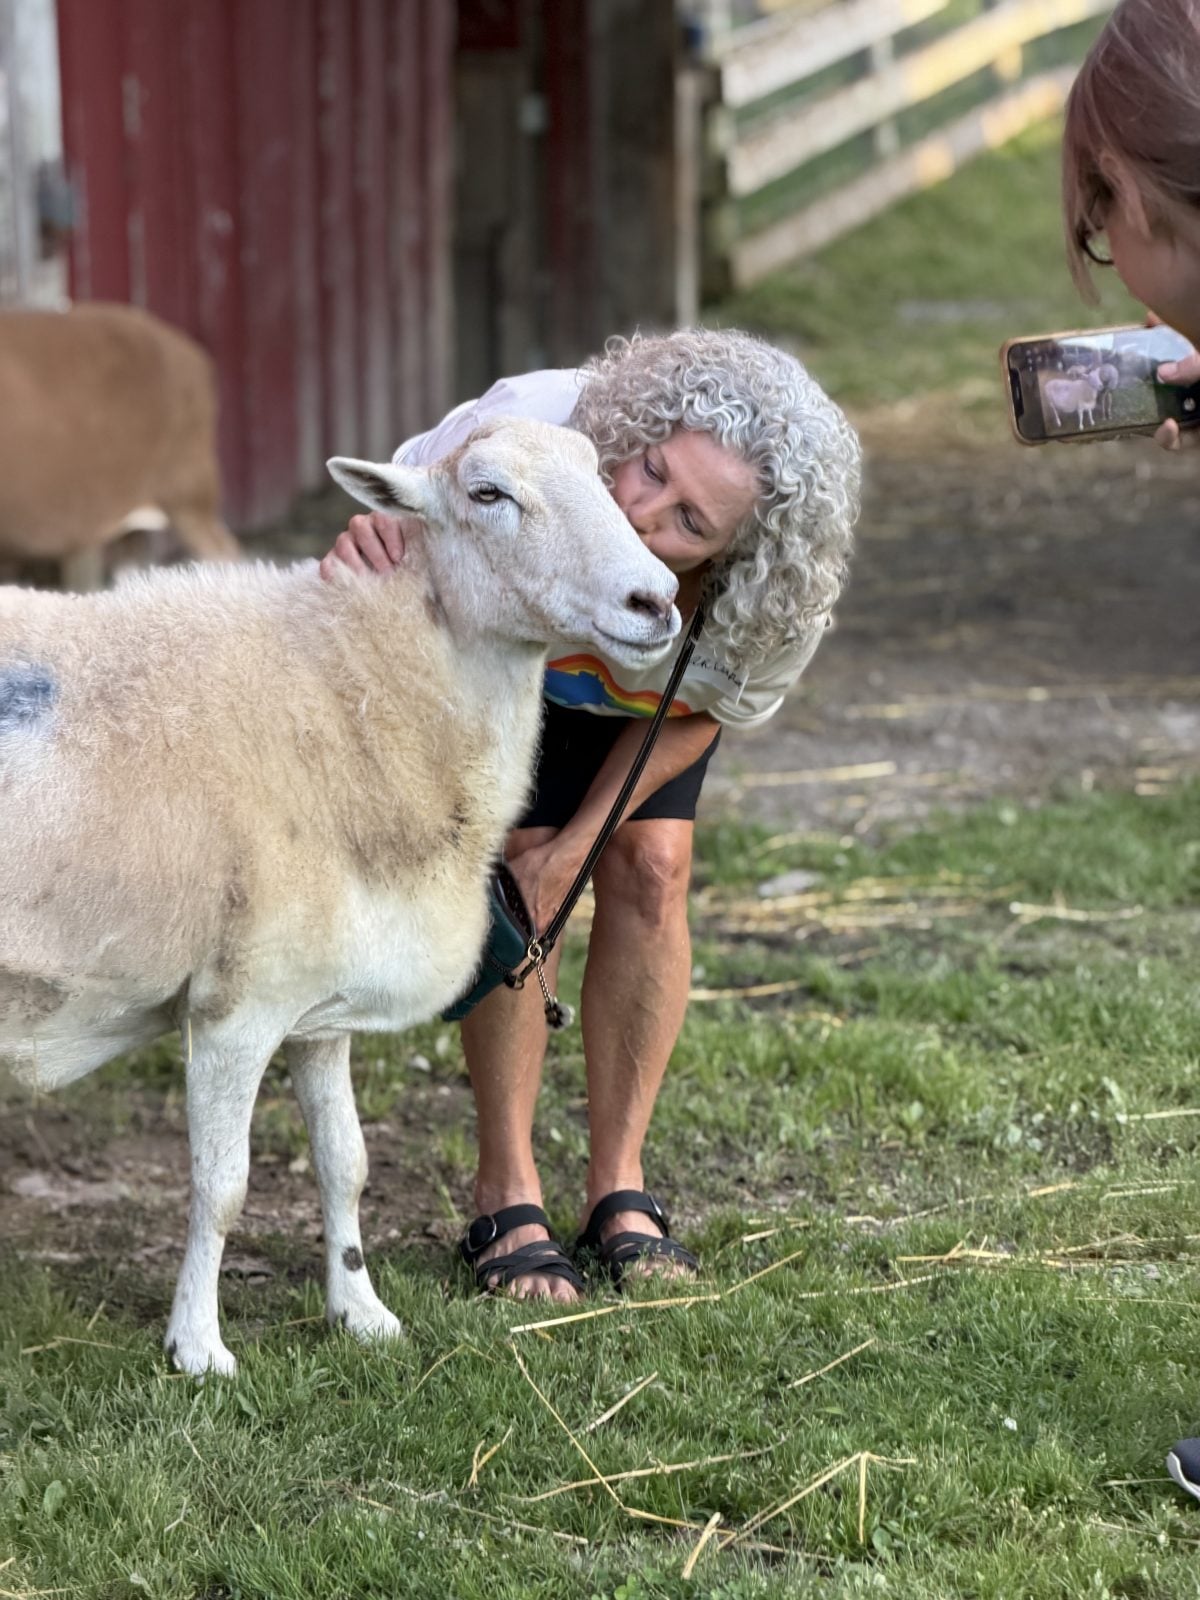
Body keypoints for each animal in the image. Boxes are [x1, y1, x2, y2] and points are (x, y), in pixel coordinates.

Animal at [0, 417, 679, 1375]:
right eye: (487, 494)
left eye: (604, 475)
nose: (655, 601)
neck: (350, 683)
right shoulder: (238, 1003)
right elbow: (223, 1185)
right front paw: (198, 1346)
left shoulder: (317, 1011)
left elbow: (345, 1164)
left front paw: (361, 1312)